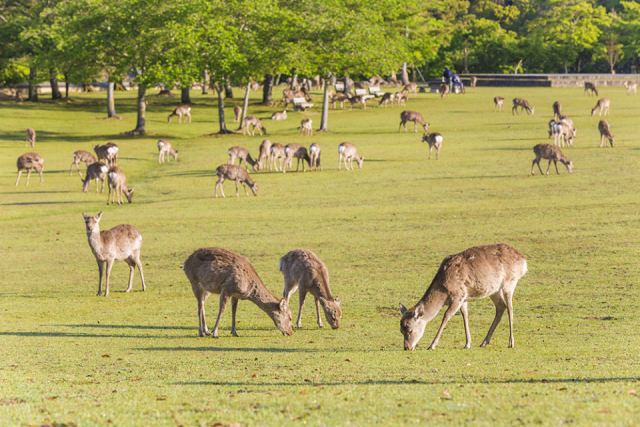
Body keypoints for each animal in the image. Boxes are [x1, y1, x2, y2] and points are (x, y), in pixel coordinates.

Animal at [398, 244, 528, 352]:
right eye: (401, 330)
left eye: (410, 330)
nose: (407, 347)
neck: (443, 288)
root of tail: (523, 260)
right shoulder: (464, 297)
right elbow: (464, 315)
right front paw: (467, 344)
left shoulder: (458, 295)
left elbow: (446, 316)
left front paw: (432, 345)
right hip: (494, 290)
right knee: (501, 307)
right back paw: (484, 342)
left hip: (509, 282)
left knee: (510, 308)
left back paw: (511, 343)